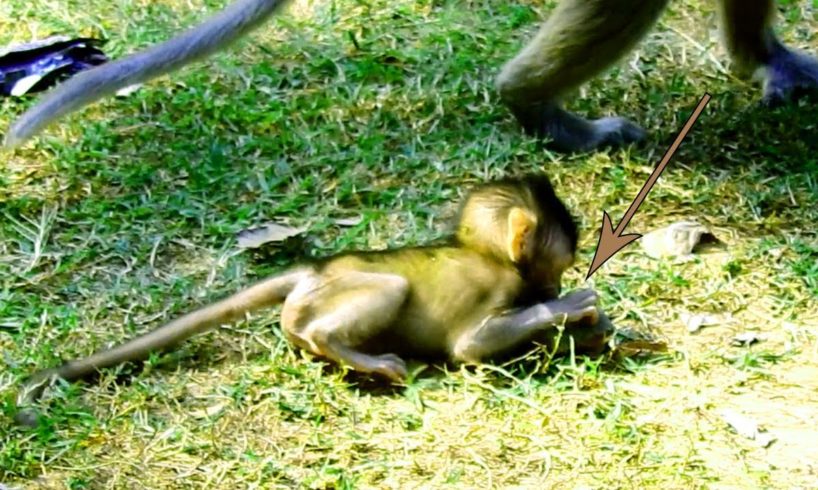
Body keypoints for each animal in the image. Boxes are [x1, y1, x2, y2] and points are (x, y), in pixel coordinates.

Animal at [15, 175, 612, 424]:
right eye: (561, 263)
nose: (554, 287)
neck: (485, 253)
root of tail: (314, 270)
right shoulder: (499, 287)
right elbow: (471, 347)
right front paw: (568, 307)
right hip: (342, 294)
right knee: (355, 307)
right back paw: (357, 356)